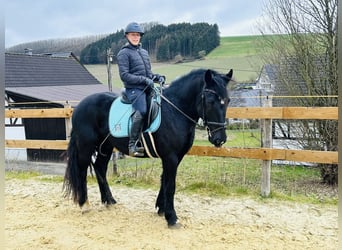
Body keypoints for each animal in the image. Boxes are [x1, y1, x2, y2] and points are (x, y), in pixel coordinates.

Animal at [63, 68, 232, 227]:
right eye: (210, 101)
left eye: (227, 100)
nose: (220, 139)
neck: (175, 111)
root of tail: (78, 107)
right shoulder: (170, 157)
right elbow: (170, 185)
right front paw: (172, 218)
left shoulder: (176, 156)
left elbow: (164, 180)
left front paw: (161, 209)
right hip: (86, 146)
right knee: (82, 170)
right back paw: (84, 204)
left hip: (106, 146)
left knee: (100, 168)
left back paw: (109, 200)